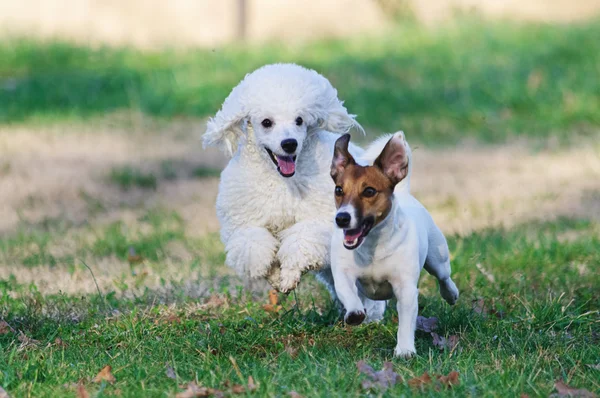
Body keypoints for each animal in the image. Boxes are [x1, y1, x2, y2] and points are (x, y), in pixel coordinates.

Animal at [330, 131, 458, 358]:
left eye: (369, 191)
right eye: (338, 189)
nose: (342, 218)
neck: (372, 246)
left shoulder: (405, 288)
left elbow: (406, 321)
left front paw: (405, 350)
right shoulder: (343, 272)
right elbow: (347, 291)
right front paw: (354, 313)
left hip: (438, 258)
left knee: (444, 277)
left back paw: (451, 294)